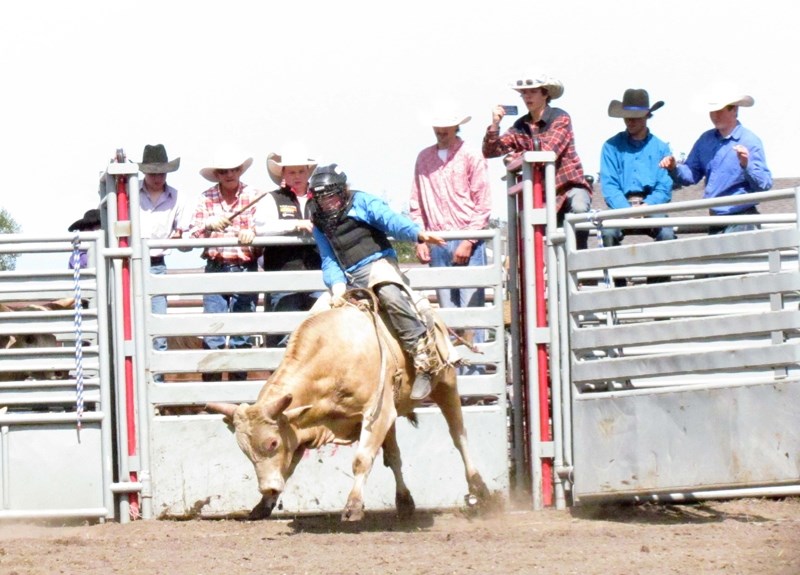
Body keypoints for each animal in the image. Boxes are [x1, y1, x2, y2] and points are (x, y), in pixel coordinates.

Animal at [206, 302, 490, 520]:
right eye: (244, 450)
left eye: (272, 442)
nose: (267, 489)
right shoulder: (300, 429)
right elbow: (287, 468)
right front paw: (262, 506)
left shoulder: (377, 414)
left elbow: (362, 459)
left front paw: (353, 506)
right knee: (394, 457)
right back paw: (404, 501)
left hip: (445, 384)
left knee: (459, 436)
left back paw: (479, 489)